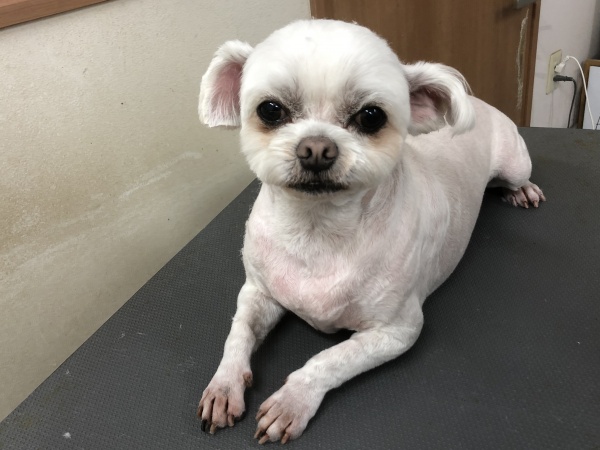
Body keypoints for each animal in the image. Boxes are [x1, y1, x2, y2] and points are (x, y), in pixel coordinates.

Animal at [196, 19, 545, 444]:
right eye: (271, 109)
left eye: (371, 117)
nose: (316, 149)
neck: (317, 231)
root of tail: (480, 103)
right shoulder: (259, 292)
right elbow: (238, 333)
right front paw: (225, 384)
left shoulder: (397, 332)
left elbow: (329, 359)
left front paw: (292, 400)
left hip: (515, 162)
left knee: (517, 176)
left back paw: (522, 190)